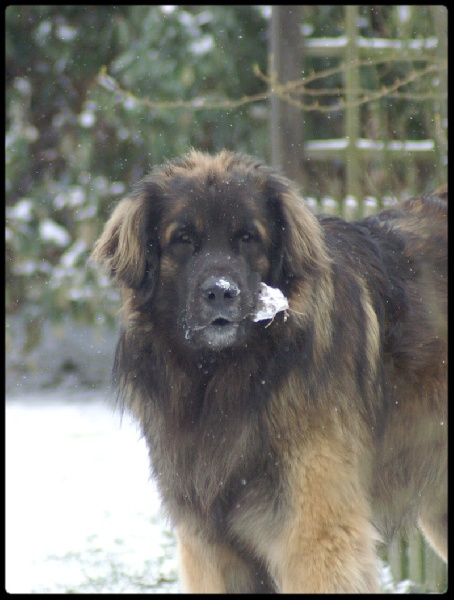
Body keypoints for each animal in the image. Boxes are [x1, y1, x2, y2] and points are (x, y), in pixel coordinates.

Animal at [91, 151, 446, 596]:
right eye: (183, 239)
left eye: (248, 237)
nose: (221, 292)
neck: (224, 381)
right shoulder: (212, 547)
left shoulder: (314, 535)